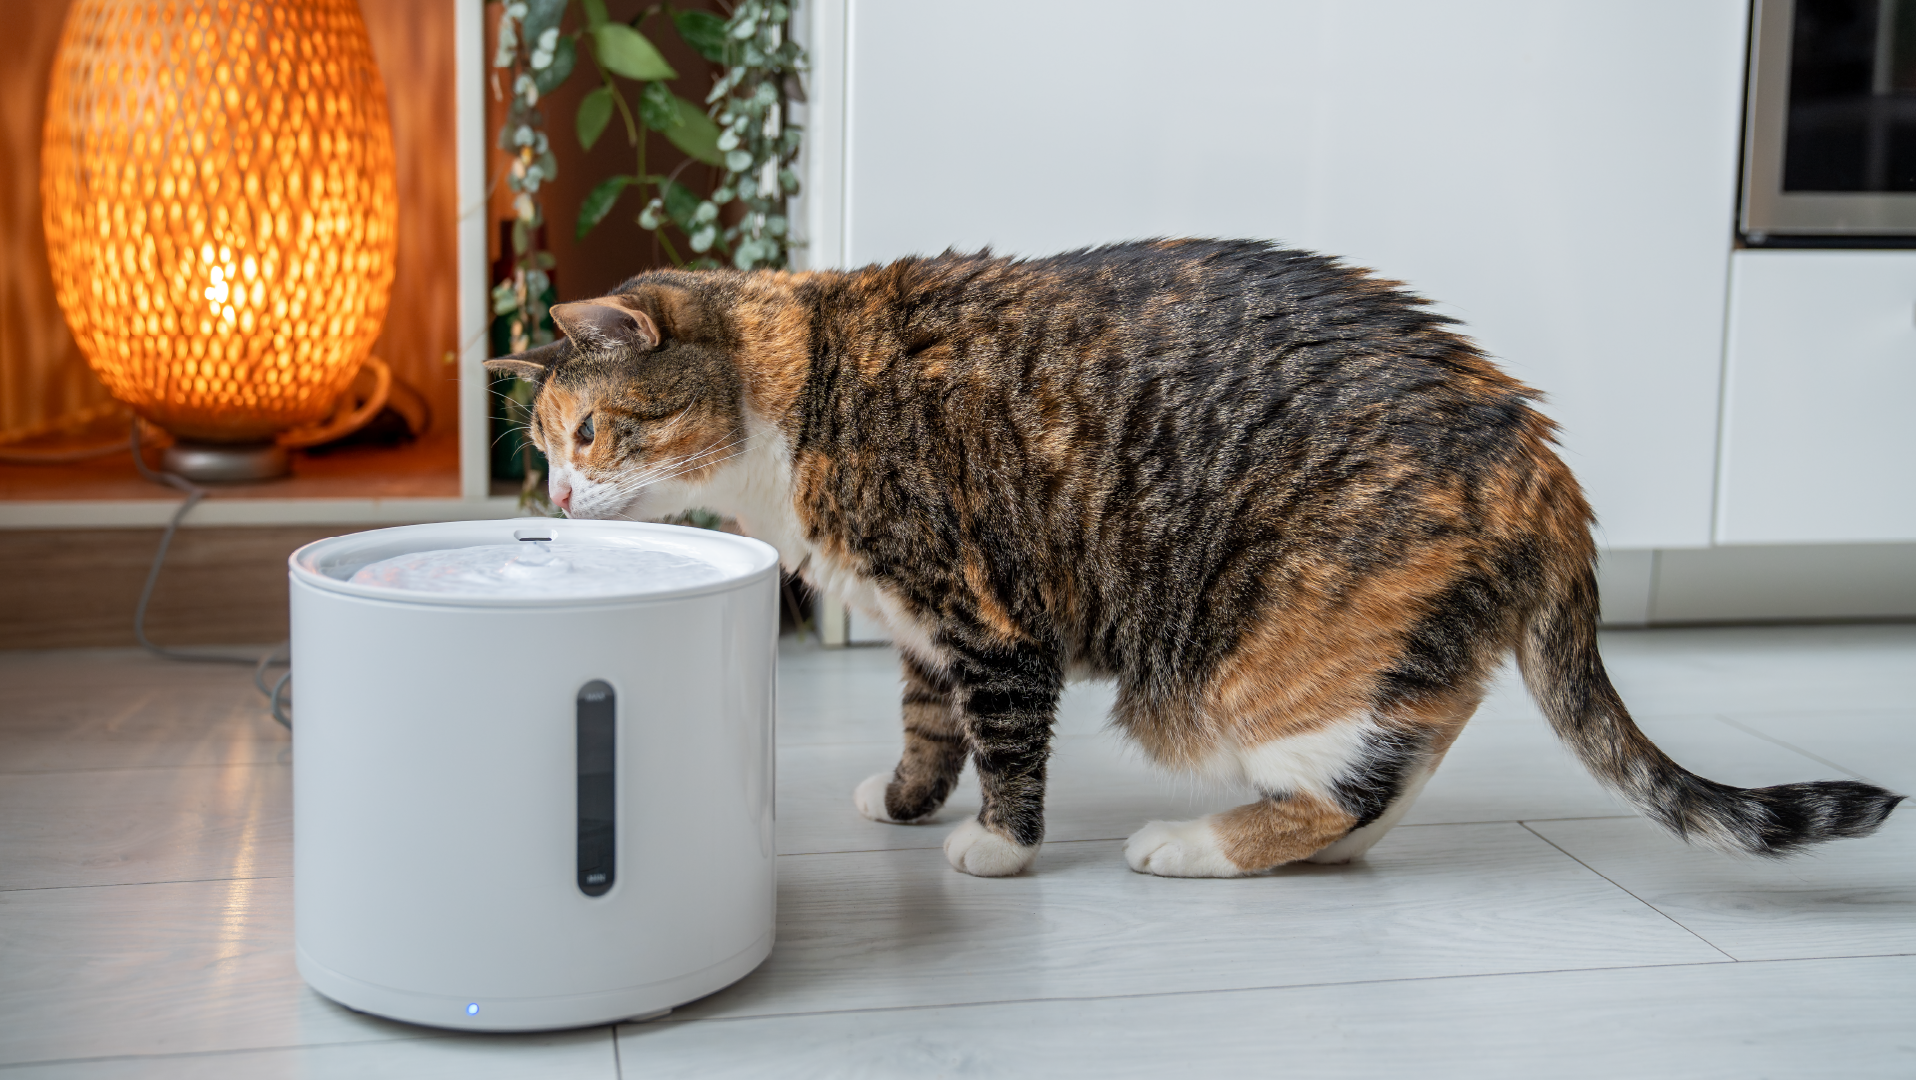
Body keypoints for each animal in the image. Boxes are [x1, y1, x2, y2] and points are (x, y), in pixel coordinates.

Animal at [486, 239, 1904, 878]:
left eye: (591, 433)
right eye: (543, 447)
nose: (554, 494)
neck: (805, 397)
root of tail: (1536, 454)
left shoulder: (988, 613)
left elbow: (1004, 740)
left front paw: (996, 850)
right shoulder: (920, 627)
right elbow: (925, 728)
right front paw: (901, 802)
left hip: (1254, 662)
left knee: (1353, 785)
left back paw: (1192, 844)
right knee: (1393, 765)